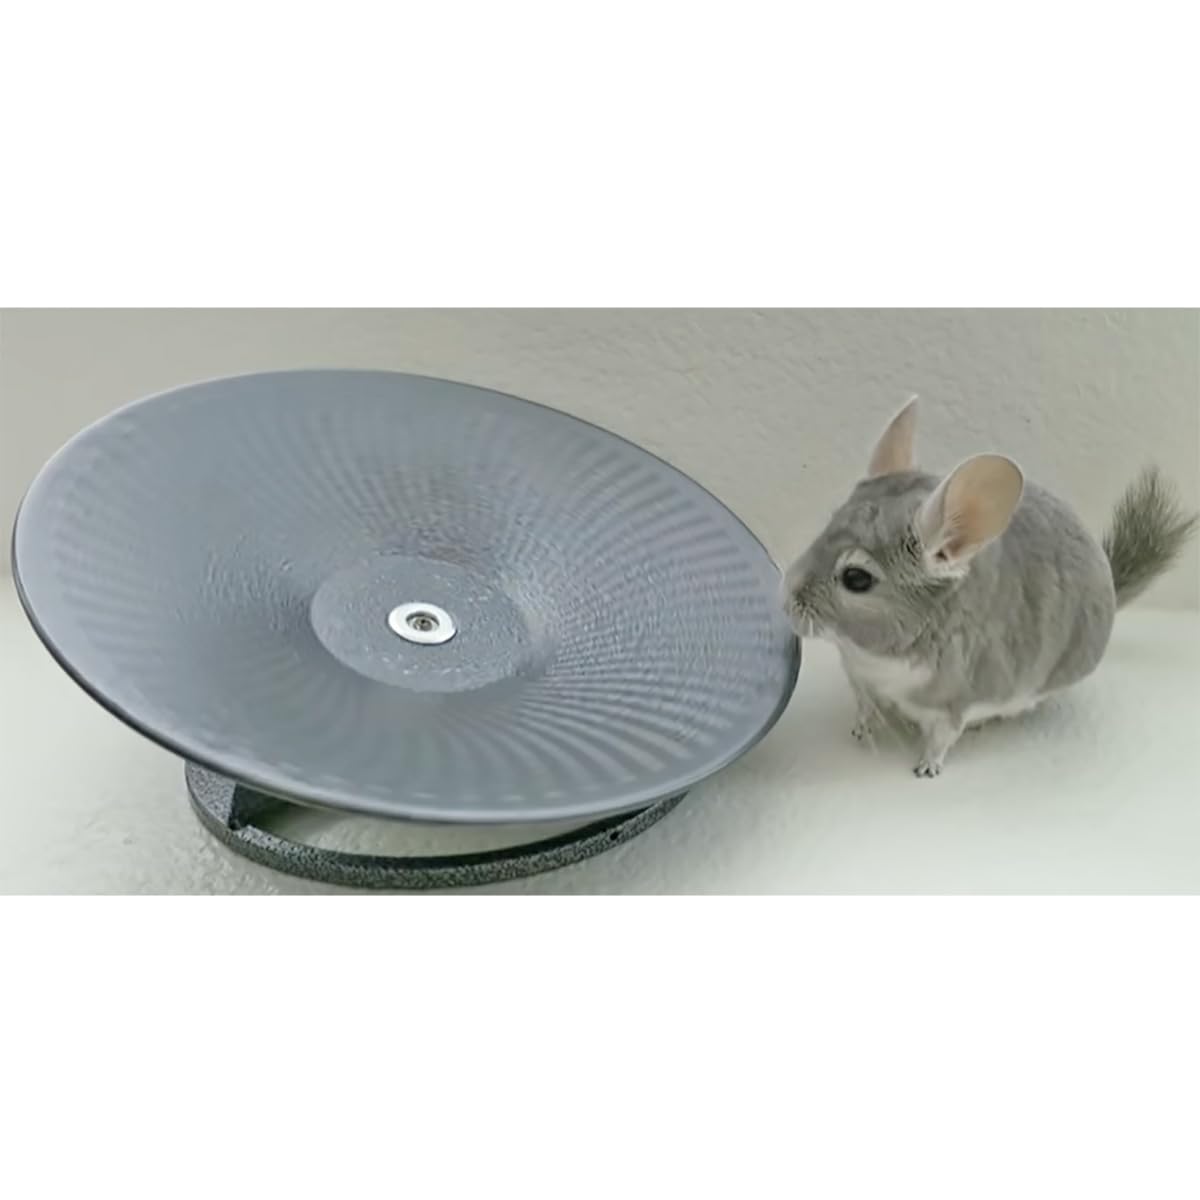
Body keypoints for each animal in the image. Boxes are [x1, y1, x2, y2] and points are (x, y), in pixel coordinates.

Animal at [782, 398, 1197, 777]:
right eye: (825, 527)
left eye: (856, 578)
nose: (787, 603)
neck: (874, 656)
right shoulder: (857, 676)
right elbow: (864, 705)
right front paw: (860, 729)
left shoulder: (954, 702)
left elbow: (941, 738)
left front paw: (925, 769)